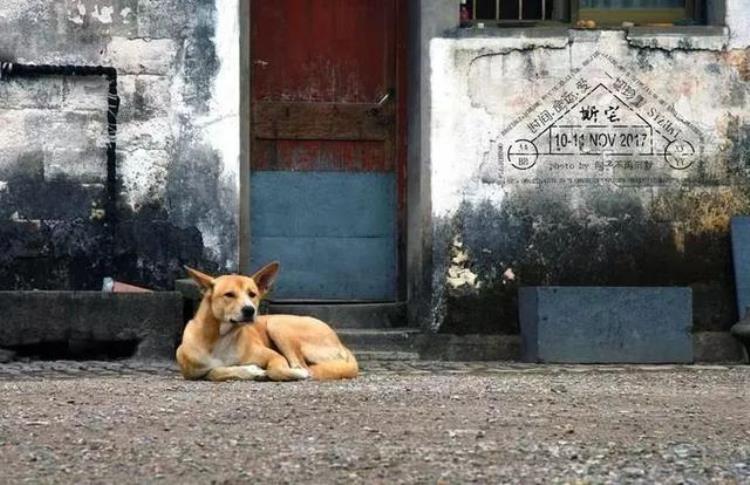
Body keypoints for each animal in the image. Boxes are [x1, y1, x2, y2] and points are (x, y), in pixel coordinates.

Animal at [179, 262, 362, 380]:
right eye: (229, 294)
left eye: (252, 294)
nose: (249, 310)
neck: (222, 338)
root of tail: (339, 342)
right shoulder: (192, 372)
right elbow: (214, 372)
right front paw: (251, 370)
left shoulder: (274, 356)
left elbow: (276, 370)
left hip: (277, 325)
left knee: (301, 365)